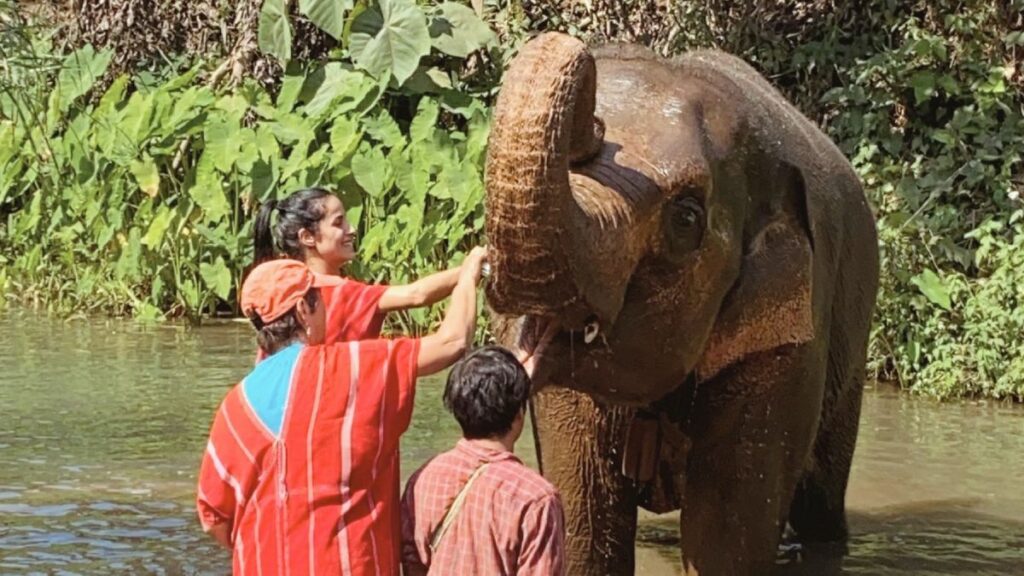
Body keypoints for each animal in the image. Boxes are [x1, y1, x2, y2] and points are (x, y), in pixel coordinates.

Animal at [481, 32, 880, 573]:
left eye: (686, 218)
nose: (594, 125)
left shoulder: (787, 344)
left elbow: (724, 543)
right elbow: (587, 537)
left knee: (822, 502)